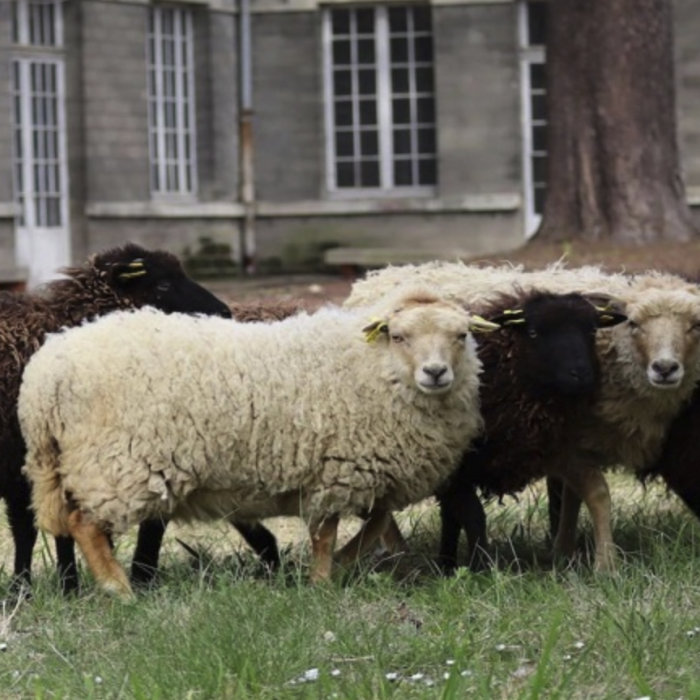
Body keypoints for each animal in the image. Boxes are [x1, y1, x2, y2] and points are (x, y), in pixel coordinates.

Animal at [0, 243, 232, 592]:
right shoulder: (22, 463)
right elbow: (28, 529)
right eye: (163, 283)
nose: (224, 312)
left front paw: (67, 585)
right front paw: (29, 588)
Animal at [20, 288, 492, 600]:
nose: (436, 372)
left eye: (462, 335)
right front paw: (321, 583)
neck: (369, 365)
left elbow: (376, 523)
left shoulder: (367, 476)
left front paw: (341, 564)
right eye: (398, 336)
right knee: (83, 524)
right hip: (117, 464)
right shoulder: (334, 471)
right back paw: (120, 591)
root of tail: (43, 378)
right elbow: (326, 534)